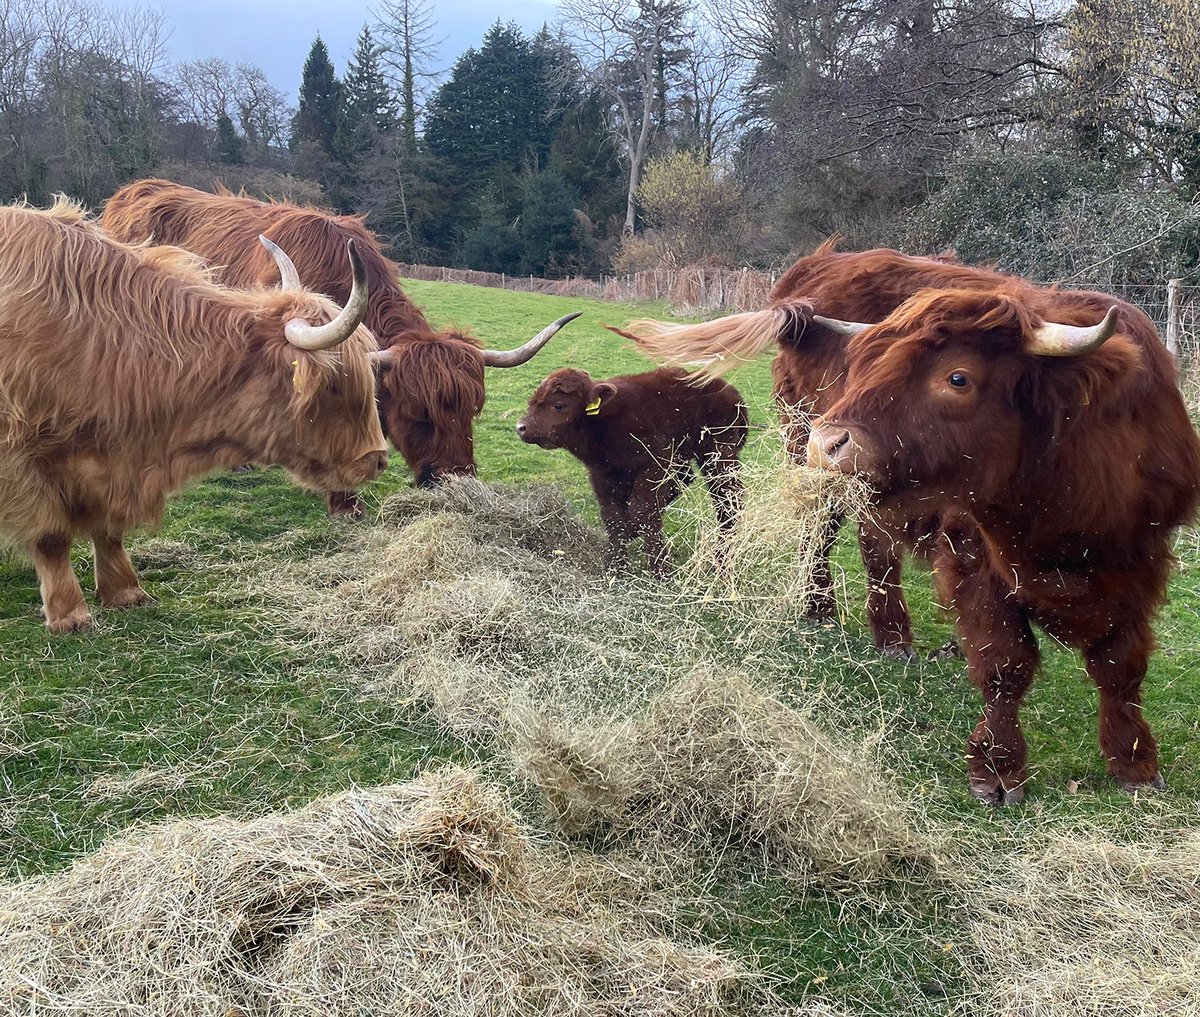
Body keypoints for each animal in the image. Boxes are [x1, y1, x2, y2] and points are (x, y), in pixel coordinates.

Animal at [0, 194, 384, 633]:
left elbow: (110, 529)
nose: (378, 459)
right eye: (335, 383)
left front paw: (125, 592)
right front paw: (70, 614)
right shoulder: (19, 461)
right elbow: (51, 536)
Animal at [518, 366, 744, 575]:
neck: (604, 421)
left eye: (558, 405)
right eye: (533, 400)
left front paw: (660, 570)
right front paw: (615, 567)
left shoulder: (655, 465)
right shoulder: (602, 473)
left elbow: (642, 511)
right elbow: (613, 516)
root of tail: (731, 392)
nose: (522, 427)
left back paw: (722, 562)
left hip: (718, 457)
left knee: (729, 501)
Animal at [806, 285, 1200, 801]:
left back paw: (892, 637)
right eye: (861, 366)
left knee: (877, 548)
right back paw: (822, 611)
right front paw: (996, 769)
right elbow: (1005, 663)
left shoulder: (1140, 563)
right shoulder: (973, 558)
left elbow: (1122, 667)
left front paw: (1134, 763)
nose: (827, 442)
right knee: (823, 535)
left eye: (958, 378)